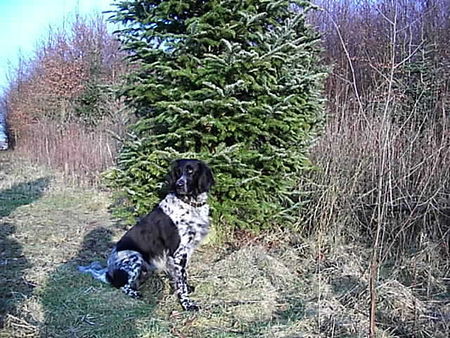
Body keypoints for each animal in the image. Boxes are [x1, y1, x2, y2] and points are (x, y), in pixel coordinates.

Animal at [79, 160, 214, 310]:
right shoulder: (178, 252)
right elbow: (181, 280)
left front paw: (186, 288)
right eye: (178, 172)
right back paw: (135, 293)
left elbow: (181, 276)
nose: (179, 184)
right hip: (135, 257)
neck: (189, 203)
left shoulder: (184, 251)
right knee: (122, 286)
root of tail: (109, 273)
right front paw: (187, 304)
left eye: (190, 171)